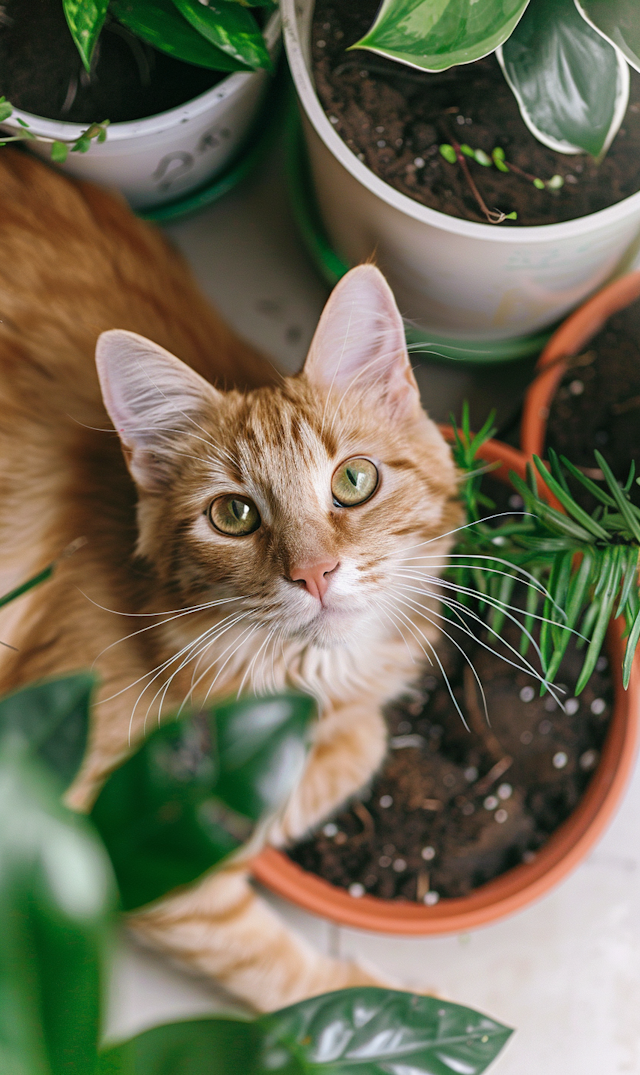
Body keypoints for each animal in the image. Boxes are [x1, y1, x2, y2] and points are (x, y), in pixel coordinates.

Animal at [0, 149, 460, 1006]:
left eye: (353, 481)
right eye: (234, 515)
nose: (315, 573)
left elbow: (361, 737)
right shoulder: (88, 826)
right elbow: (276, 968)